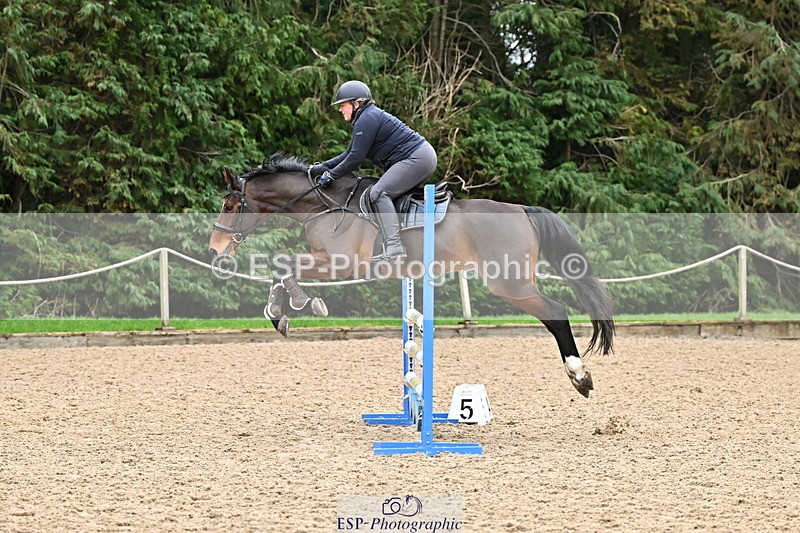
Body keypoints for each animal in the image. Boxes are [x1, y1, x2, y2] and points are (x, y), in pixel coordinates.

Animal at [208, 152, 615, 397]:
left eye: (230, 205)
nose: (215, 250)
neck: (321, 204)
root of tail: (522, 210)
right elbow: (280, 268)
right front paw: (280, 314)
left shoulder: (338, 262)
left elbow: (282, 264)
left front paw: (301, 304)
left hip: (508, 283)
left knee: (556, 312)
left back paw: (580, 376)